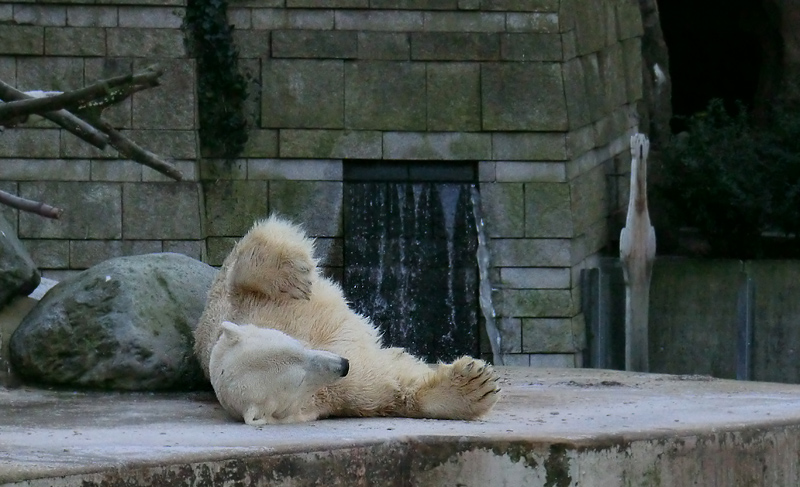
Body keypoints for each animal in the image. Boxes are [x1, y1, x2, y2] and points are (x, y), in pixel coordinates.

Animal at [192, 215, 500, 426]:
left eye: (295, 346)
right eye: (298, 380)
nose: (343, 363)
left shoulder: (241, 310)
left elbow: (242, 272)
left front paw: (294, 275)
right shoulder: (338, 394)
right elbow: (390, 387)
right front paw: (476, 385)